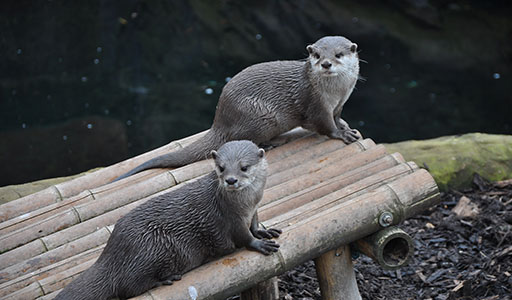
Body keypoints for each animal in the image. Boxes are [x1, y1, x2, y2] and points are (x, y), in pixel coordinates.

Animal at [55, 141, 280, 300]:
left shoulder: (254, 210)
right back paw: (166, 279)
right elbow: (244, 237)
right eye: (221, 167)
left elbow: (254, 225)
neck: (246, 203)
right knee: (129, 287)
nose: (231, 180)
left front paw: (264, 232)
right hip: (151, 247)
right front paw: (259, 244)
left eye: (244, 167)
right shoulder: (230, 219)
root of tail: (110, 255)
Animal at [114, 35, 362, 180]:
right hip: (260, 115)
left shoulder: (340, 102)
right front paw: (342, 134)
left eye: (338, 55)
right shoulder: (316, 104)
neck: (336, 92)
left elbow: (337, 117)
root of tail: (220, 120)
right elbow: (325, 125)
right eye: (317, 55)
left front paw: (345, 126)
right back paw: (271, 143)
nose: (326, 64)